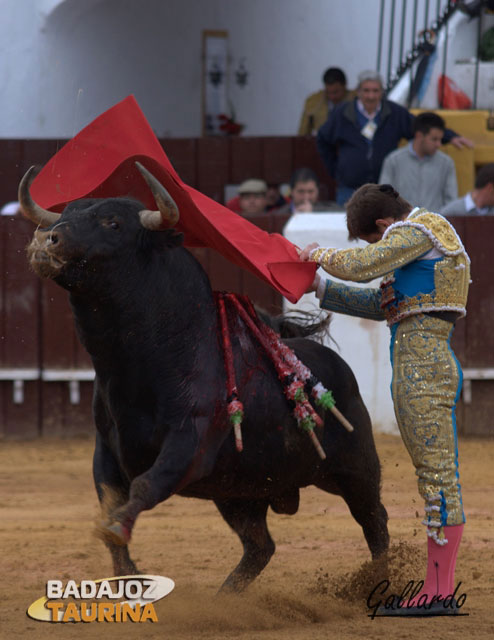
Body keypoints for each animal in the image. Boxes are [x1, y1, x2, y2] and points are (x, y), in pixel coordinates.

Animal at [20, 164, 390, 592]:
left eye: (112, 222)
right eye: (67, 213)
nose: (46, 239)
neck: (141, 364)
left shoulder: (189, 445)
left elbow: (146, 486)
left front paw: (116, 529)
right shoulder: (107, 451)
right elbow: (112, 502)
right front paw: (128, 572)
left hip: (356, 468)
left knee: (374, 521)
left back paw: (382, 578)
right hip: (238, 493)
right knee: (260, 546)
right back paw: (224, 598)